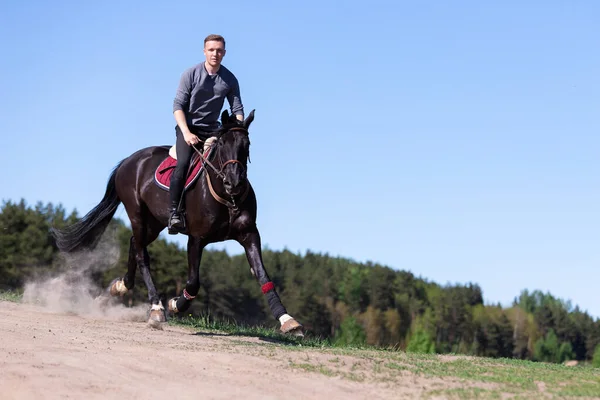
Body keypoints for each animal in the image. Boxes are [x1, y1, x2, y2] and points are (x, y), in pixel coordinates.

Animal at [50, 108, 304, 336]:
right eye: (222, 144)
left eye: (247, 145)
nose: (234, 183)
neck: (226, 198)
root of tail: (128, 161)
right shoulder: (196, 238)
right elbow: (193, 282)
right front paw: (174, 304)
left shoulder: (249, 235)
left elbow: (263, 276)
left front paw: (288, 321)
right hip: (137, 214)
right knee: (142, 255)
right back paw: (156, 308)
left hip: (154, 223)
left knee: (134, 243)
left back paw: (119, 287)